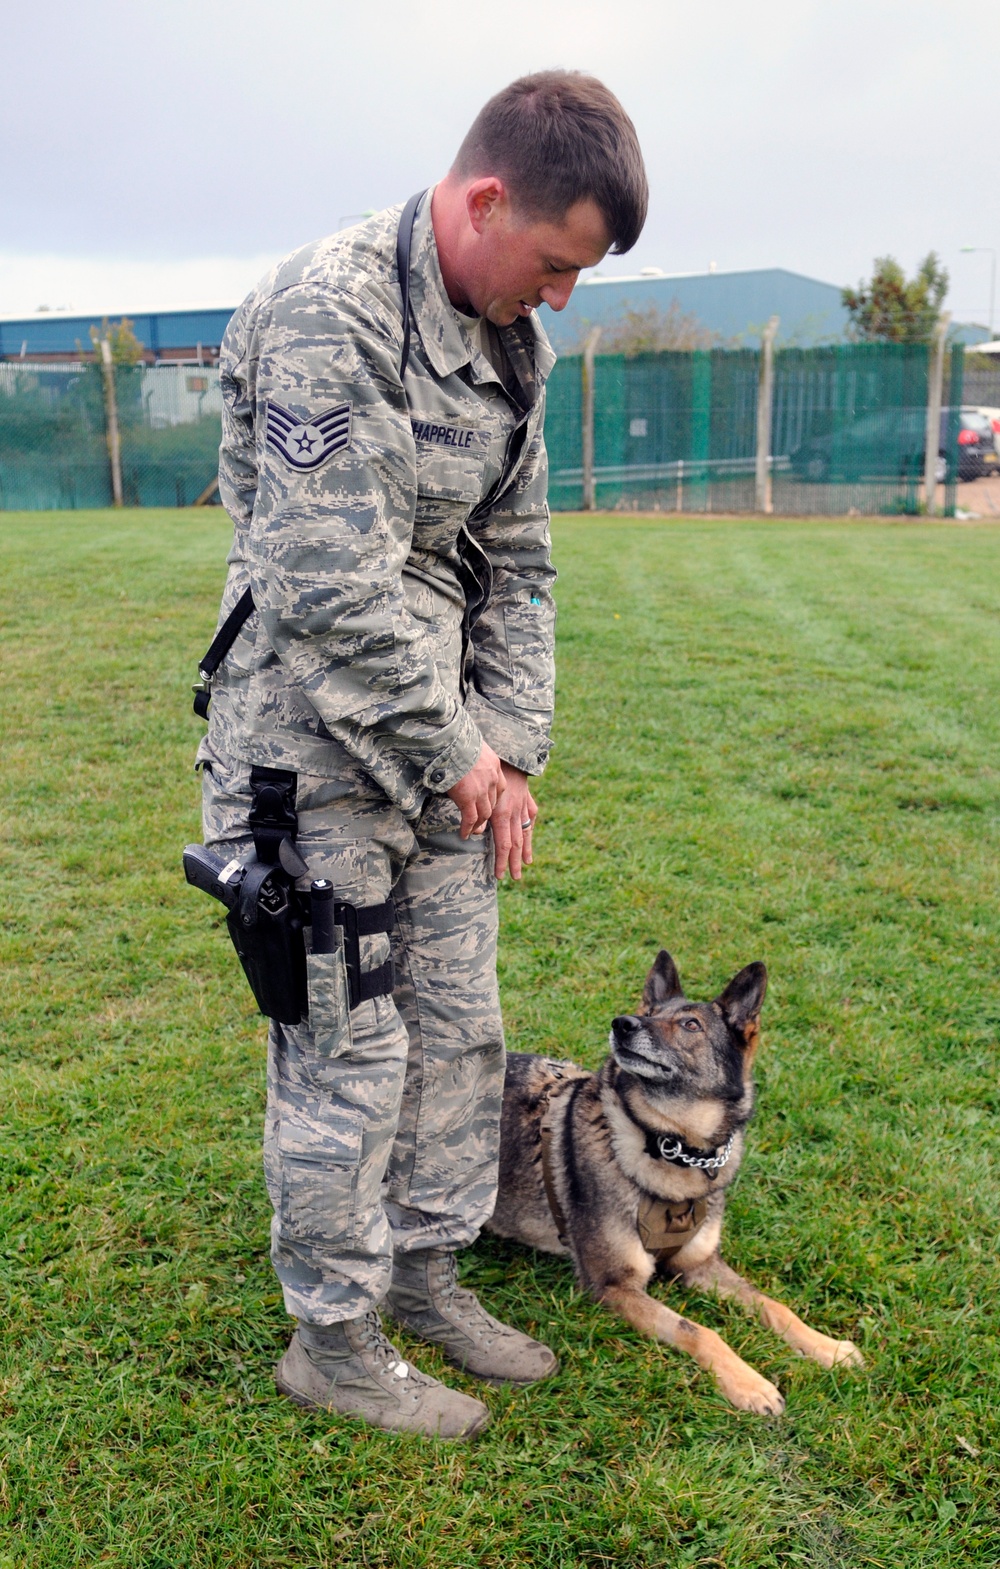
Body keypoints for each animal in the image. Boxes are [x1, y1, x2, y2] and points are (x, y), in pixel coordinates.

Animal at [486, 947, 860, 1418]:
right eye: (649, 1013)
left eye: (690, 1025)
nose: (623, 1023)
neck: (674, 1146)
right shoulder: (615, 1286)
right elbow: (698, 1329)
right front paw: (750, 1384)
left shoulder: (698, 1265)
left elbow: (774, 1305)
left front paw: (827, 1347)